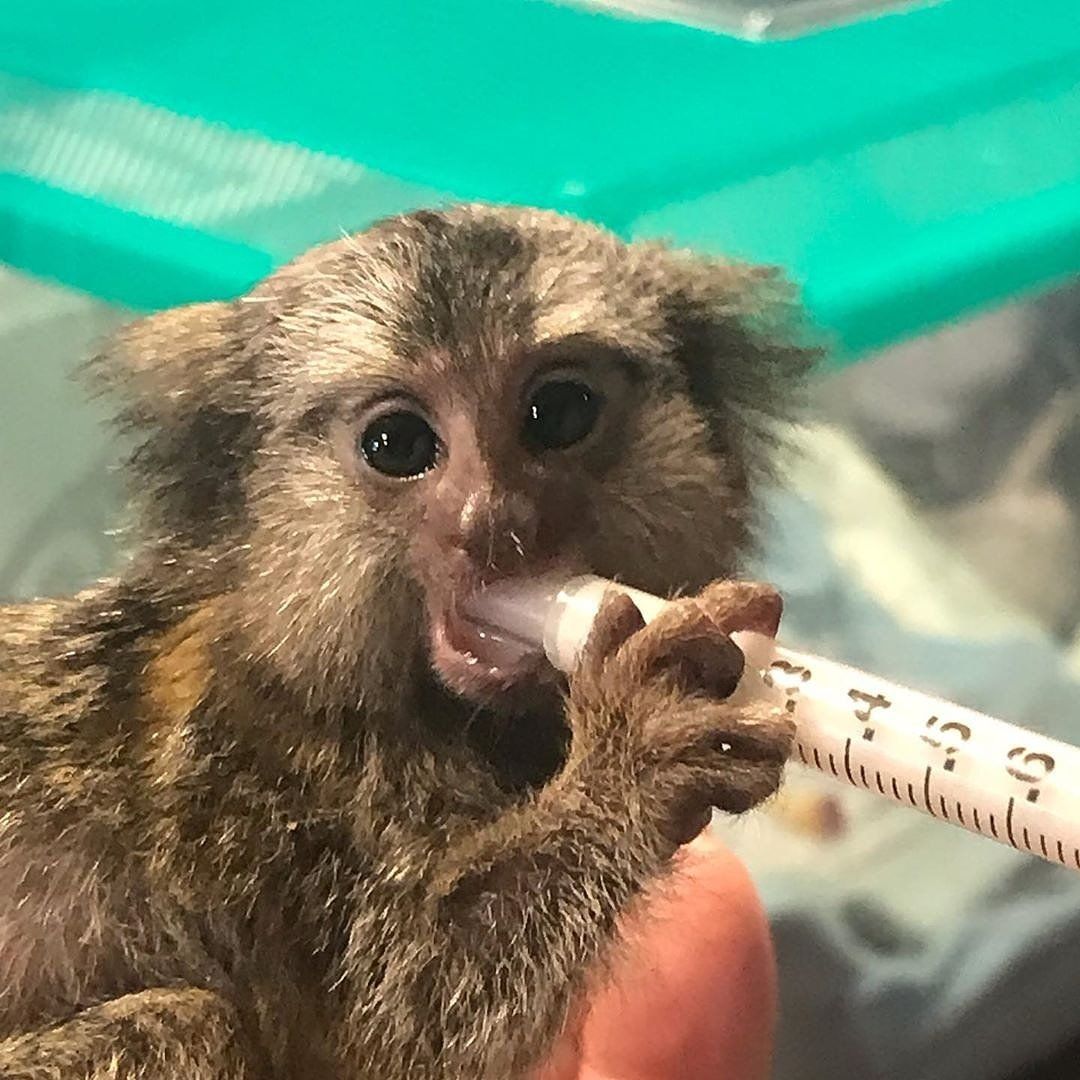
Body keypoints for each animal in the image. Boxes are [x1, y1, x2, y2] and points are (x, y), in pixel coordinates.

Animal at [0, 204, 813, 1079]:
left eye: (560, 412)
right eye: (397, 444)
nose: (492, 523)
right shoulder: (245, 801)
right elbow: (407, 1023)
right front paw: (639, 752)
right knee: (190, 1023)